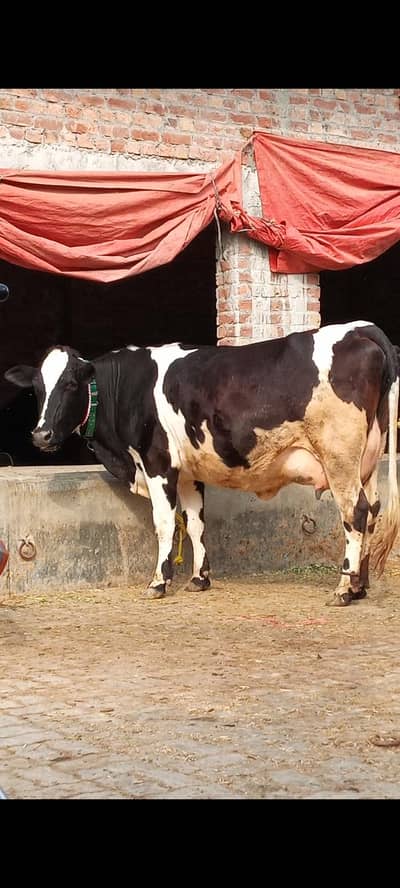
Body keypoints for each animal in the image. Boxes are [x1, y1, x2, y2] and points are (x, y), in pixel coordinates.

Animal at [4, 320, 400, 607]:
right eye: (37, 388)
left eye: (71, 384)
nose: (41, 435)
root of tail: (359, 327)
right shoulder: (187, 472)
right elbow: (195, 523)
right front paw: (199, 578)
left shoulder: (158, 462)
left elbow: (165, 523)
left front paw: (159, 582)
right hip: (366, 459)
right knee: (372, 510)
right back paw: (360, 586)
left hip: (339, 458)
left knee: (355, 512)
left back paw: (344, 589)